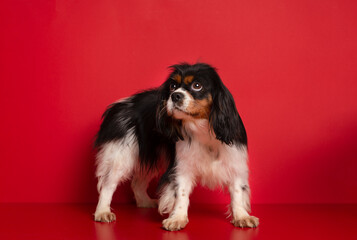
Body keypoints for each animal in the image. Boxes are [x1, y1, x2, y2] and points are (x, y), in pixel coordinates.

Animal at [93, 62, 258, 231]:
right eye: (172, 86)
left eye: (197, 85)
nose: (175, 95)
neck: (202, 128)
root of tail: (118, 106)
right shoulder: (181, 167)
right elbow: (181, 193)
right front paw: (177, 218)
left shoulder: (235, 163)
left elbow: (237, 192)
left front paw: (242, 217)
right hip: (120, 157)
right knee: (108, 184)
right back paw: (102, 212)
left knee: (137, 183)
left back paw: (144, 202)